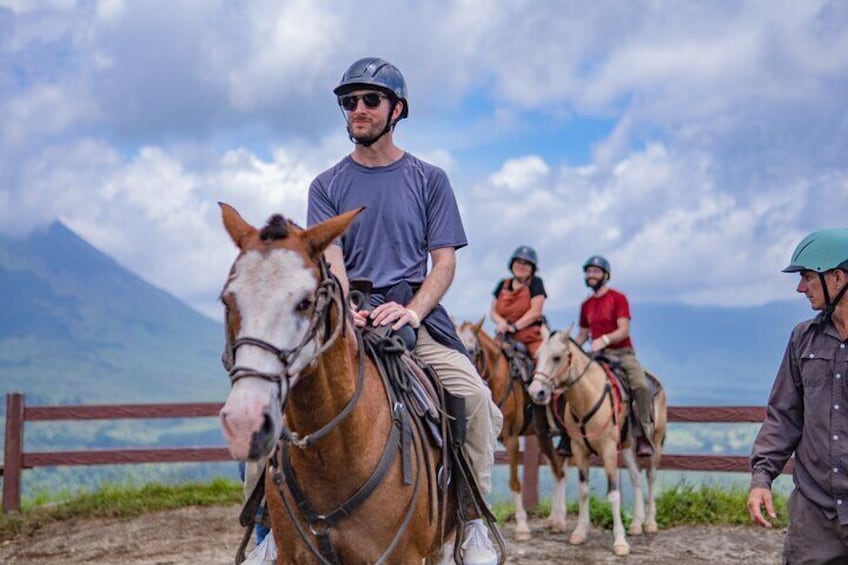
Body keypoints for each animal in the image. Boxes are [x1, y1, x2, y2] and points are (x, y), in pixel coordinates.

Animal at [454, 320, 568, 540]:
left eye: (472, 350)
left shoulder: (512, 439)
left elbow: (514, 482)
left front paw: (522, 526)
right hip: (543, 436)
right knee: (558, 469)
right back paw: (555, 519)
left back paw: (560, 521)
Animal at [524, 324, 668, 556]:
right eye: (537, 356)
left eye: (556, 357)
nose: (536, 392)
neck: (587, 397)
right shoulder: (579, 450)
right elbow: (583, 491)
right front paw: (580, 532)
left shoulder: (608, 451)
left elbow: (614, 494)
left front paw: (620, 542)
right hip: (627, 447)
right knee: (636, 477)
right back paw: (636, 524)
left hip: (655, 441)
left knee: (651, 476)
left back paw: (649, 523)